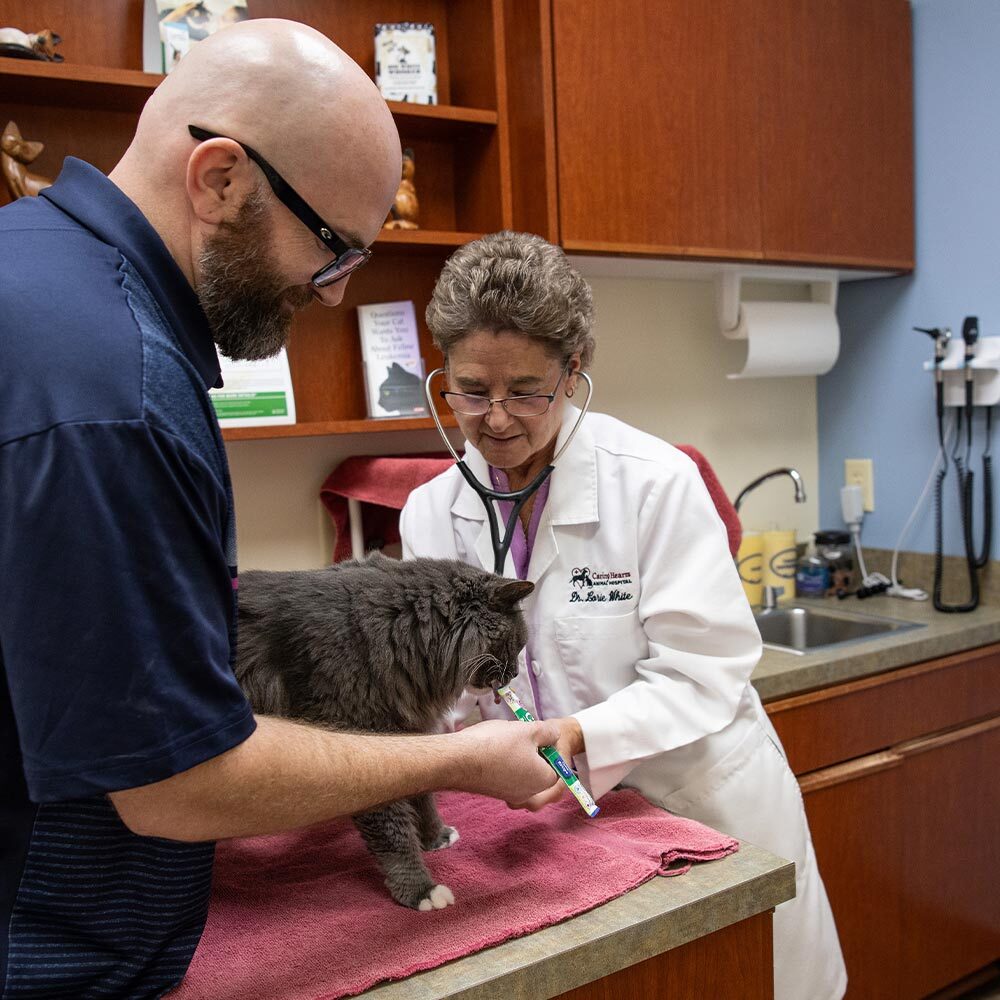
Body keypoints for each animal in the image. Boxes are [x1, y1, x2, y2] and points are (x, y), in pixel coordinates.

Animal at [235, 556, 536, 916]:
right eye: (517, 644)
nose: (515, 674)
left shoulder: (409, 735)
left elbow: (422, 794)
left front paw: (435, 837)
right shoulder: (361, 739)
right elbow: (392, 828)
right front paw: (420, 890)